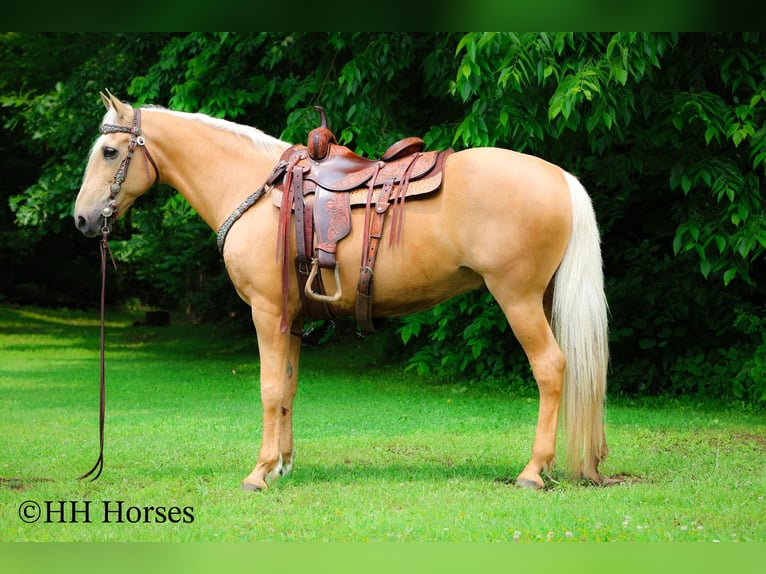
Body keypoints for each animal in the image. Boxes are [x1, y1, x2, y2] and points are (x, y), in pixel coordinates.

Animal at [74, 91, 609, 491]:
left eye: (109, 152)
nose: (81, 219)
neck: (255, 189)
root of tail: (559, 176)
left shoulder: (267, 313)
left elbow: (269, 387)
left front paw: (258, 472)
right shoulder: (291, 318)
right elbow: (288, 386)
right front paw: (282, 465)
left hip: (517, 299)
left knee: (551, 368)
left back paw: (533, 471)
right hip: (542, 299)